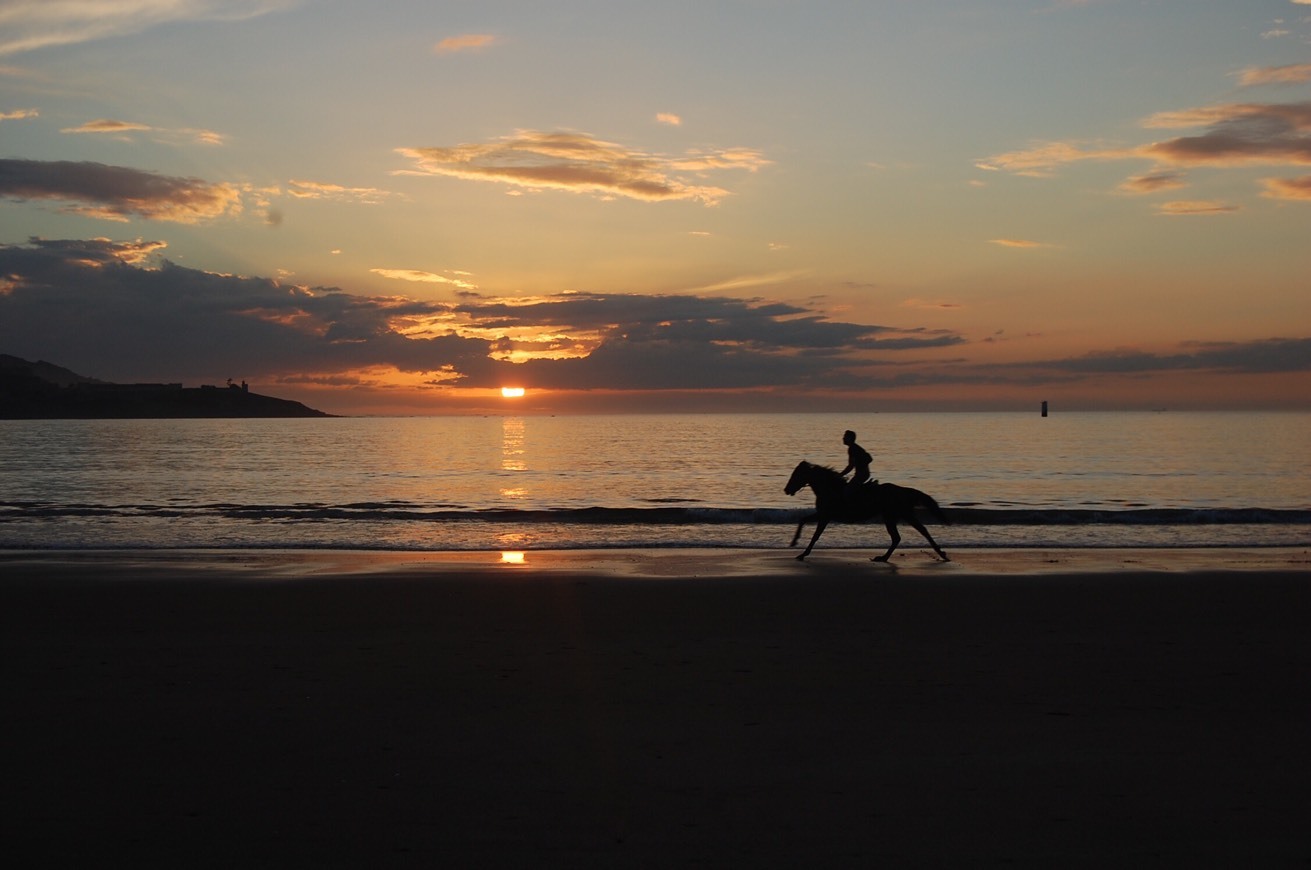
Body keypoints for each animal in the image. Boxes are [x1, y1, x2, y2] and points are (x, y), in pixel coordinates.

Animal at [781, 461, 949, 563]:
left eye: (797, 474)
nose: (786, 489)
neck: (829, 489)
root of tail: (905, 491)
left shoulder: (825, 516)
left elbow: (815, 536)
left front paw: (802, 553)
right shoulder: (822, 515)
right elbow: (803, 521)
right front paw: (794, 542)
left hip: (897, 515)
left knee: (911, 534)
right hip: (896, 516)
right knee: (905, 535)